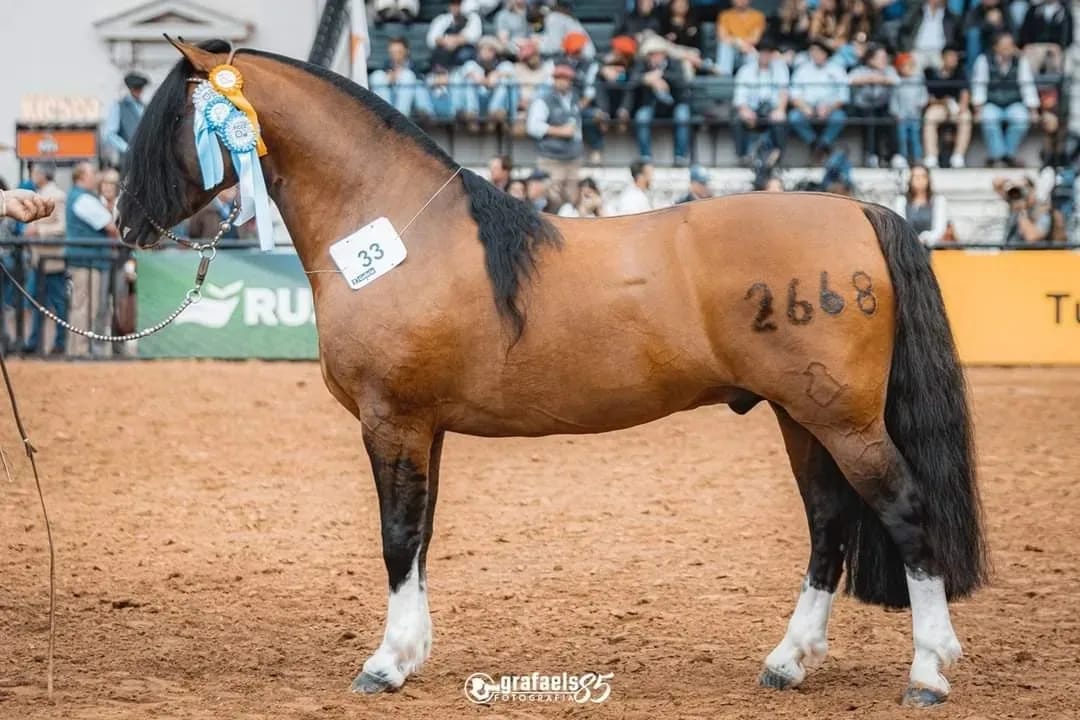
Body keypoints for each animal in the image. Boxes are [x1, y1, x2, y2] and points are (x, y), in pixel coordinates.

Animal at [118, 38, 987, 707]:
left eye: (169, 123)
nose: (126, 222)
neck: (394, 231)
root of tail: (856, 209)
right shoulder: (424, 428)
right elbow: (421, 537)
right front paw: (412, 652)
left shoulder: (392, 420)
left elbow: (397, 536)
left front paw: (384, 666)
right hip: (799, 416)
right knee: (828, 525)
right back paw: (787, 663)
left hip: (842, 420)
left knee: (905, 511)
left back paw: (927, 673)